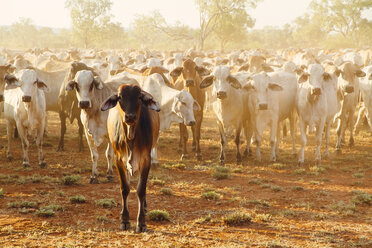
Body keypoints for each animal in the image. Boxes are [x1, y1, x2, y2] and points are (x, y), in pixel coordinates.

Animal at [101, 84, 160, 232]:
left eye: (139, 97)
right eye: (120, 97)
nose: (130, 116)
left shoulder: (146, 160)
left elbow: (141, 189)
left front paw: (141, 222)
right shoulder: (119, 160)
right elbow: (125, 188)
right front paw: (125, 220)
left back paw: (144, 206)